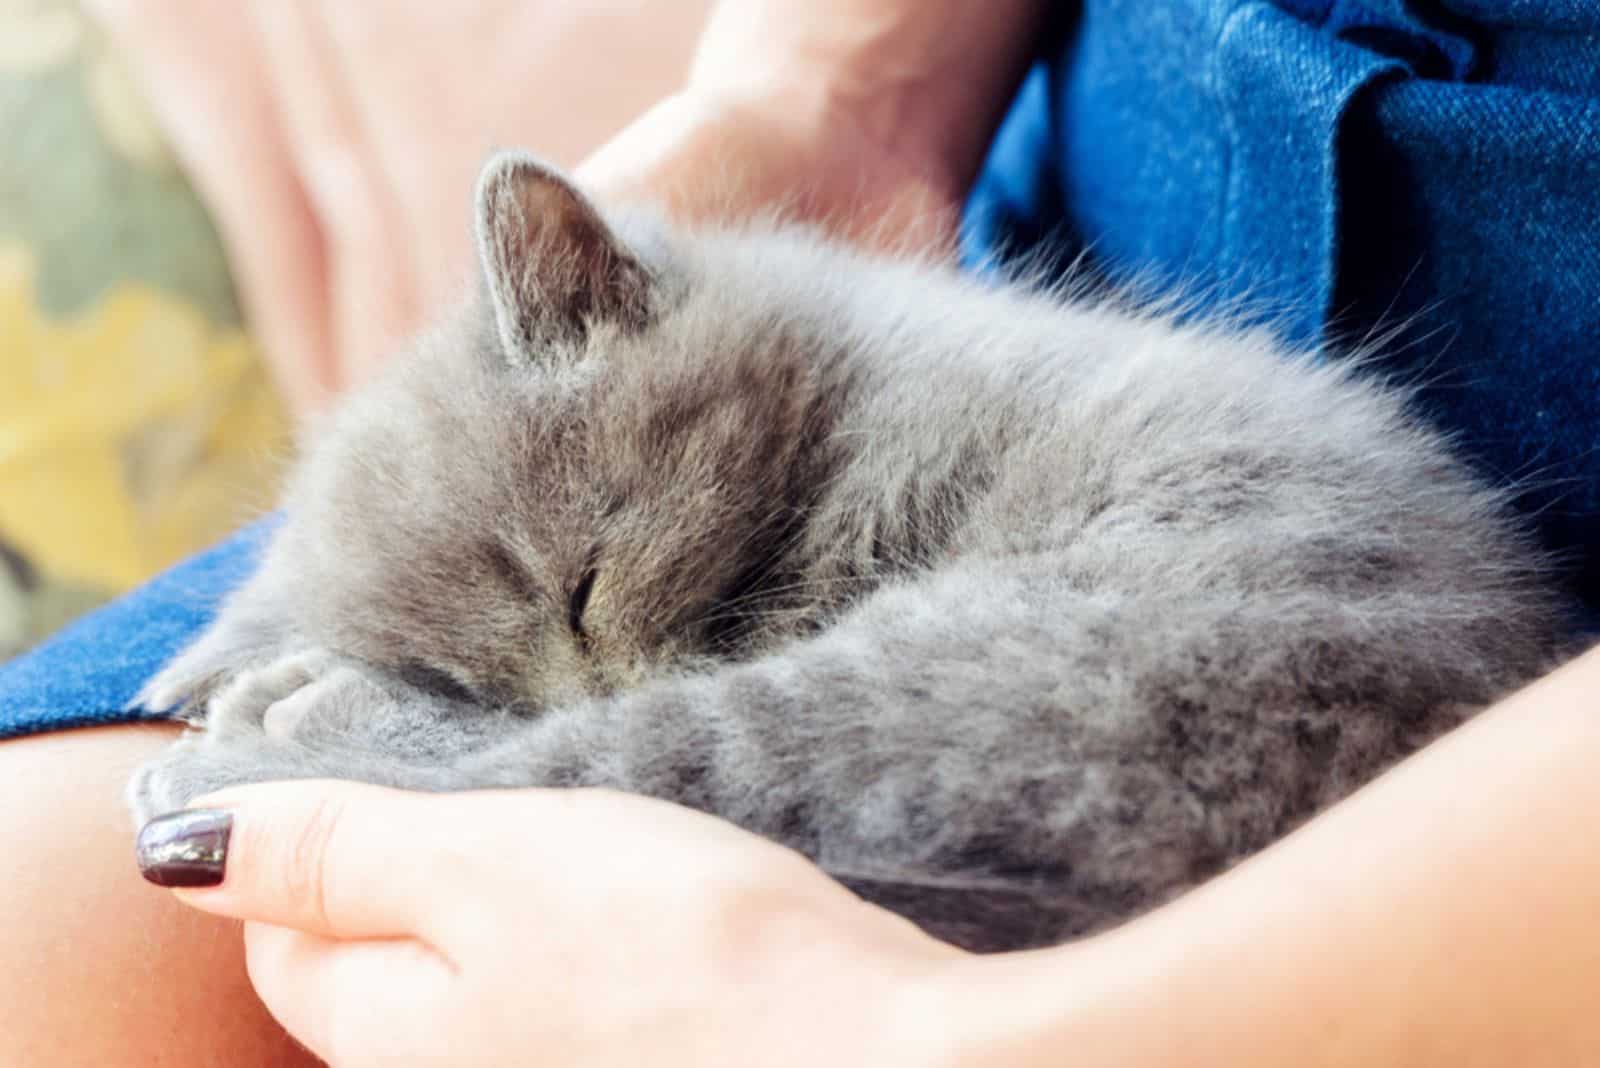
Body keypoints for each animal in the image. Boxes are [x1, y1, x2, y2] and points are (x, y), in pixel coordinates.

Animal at [131, 150, 1568, 952]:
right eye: (471, 669)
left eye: (582, 592)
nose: (580, 678)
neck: (832, 396)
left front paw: (283, 697)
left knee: (606, 768)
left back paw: (249, 741)